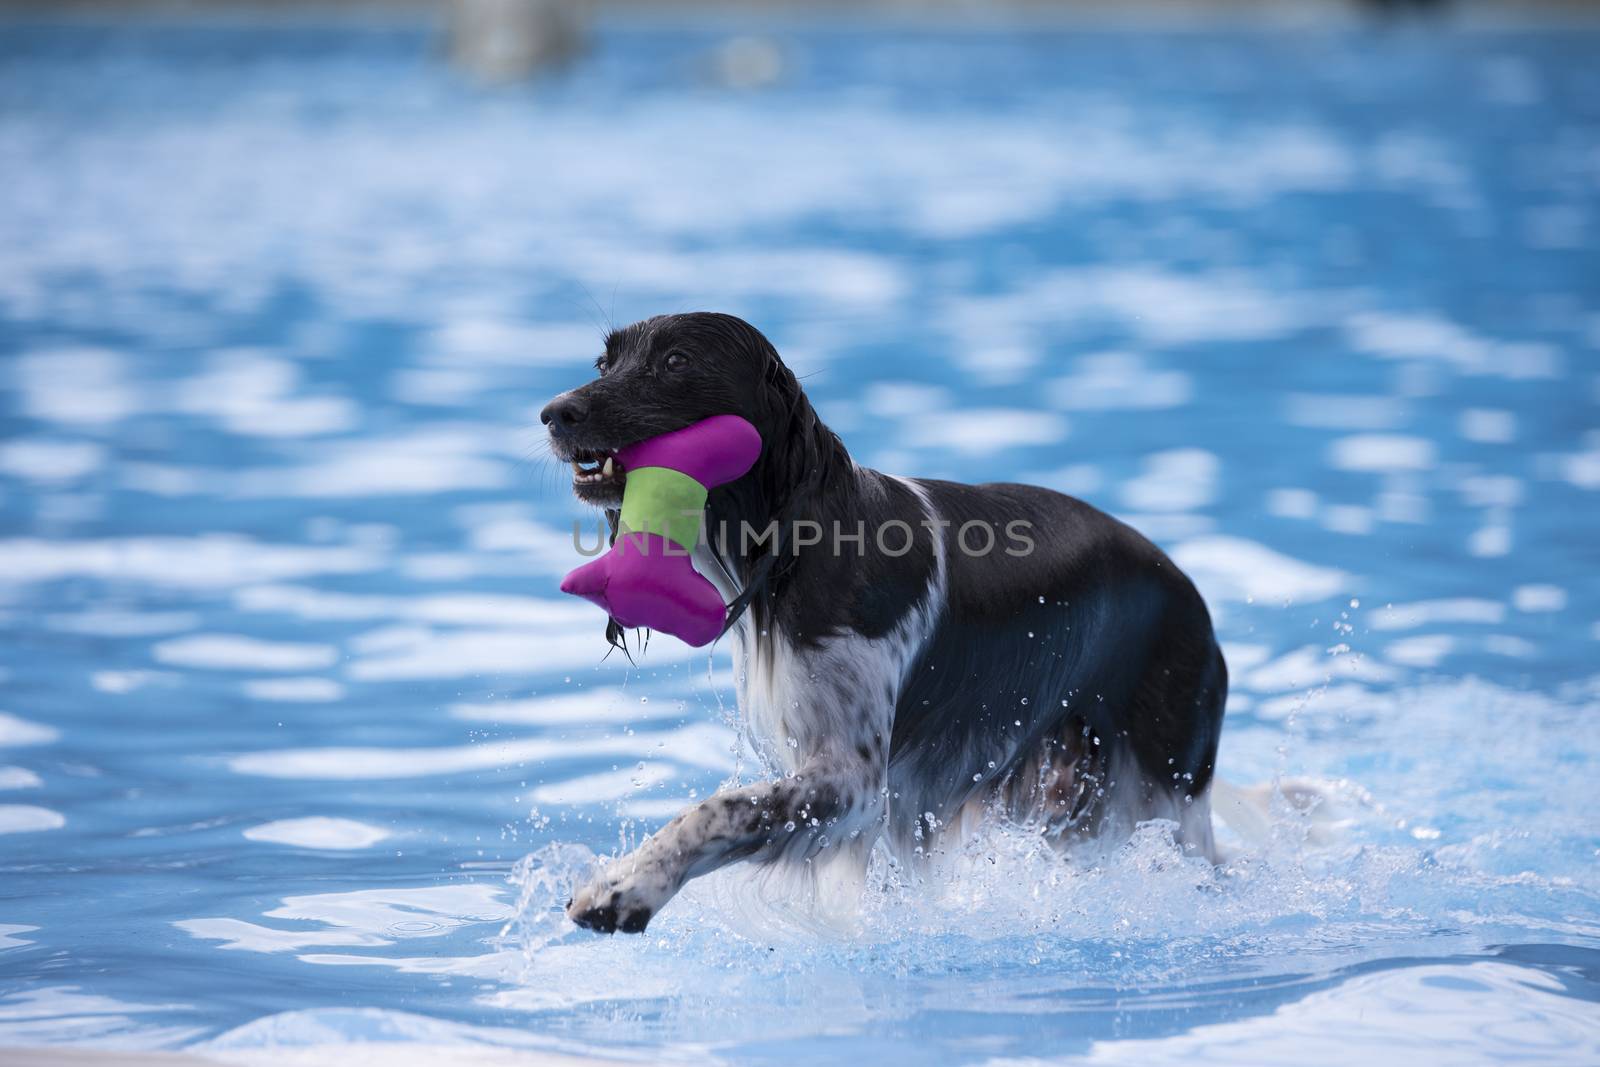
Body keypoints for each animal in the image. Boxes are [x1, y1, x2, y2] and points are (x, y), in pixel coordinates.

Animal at [537, 310, 1222, 934]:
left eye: (676, 361)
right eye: (604, 363)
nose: (554, 413)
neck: (798, 548)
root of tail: (1193, 598)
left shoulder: (854, 780)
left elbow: (722, 808)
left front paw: (627, 886)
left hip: (1168, 790)